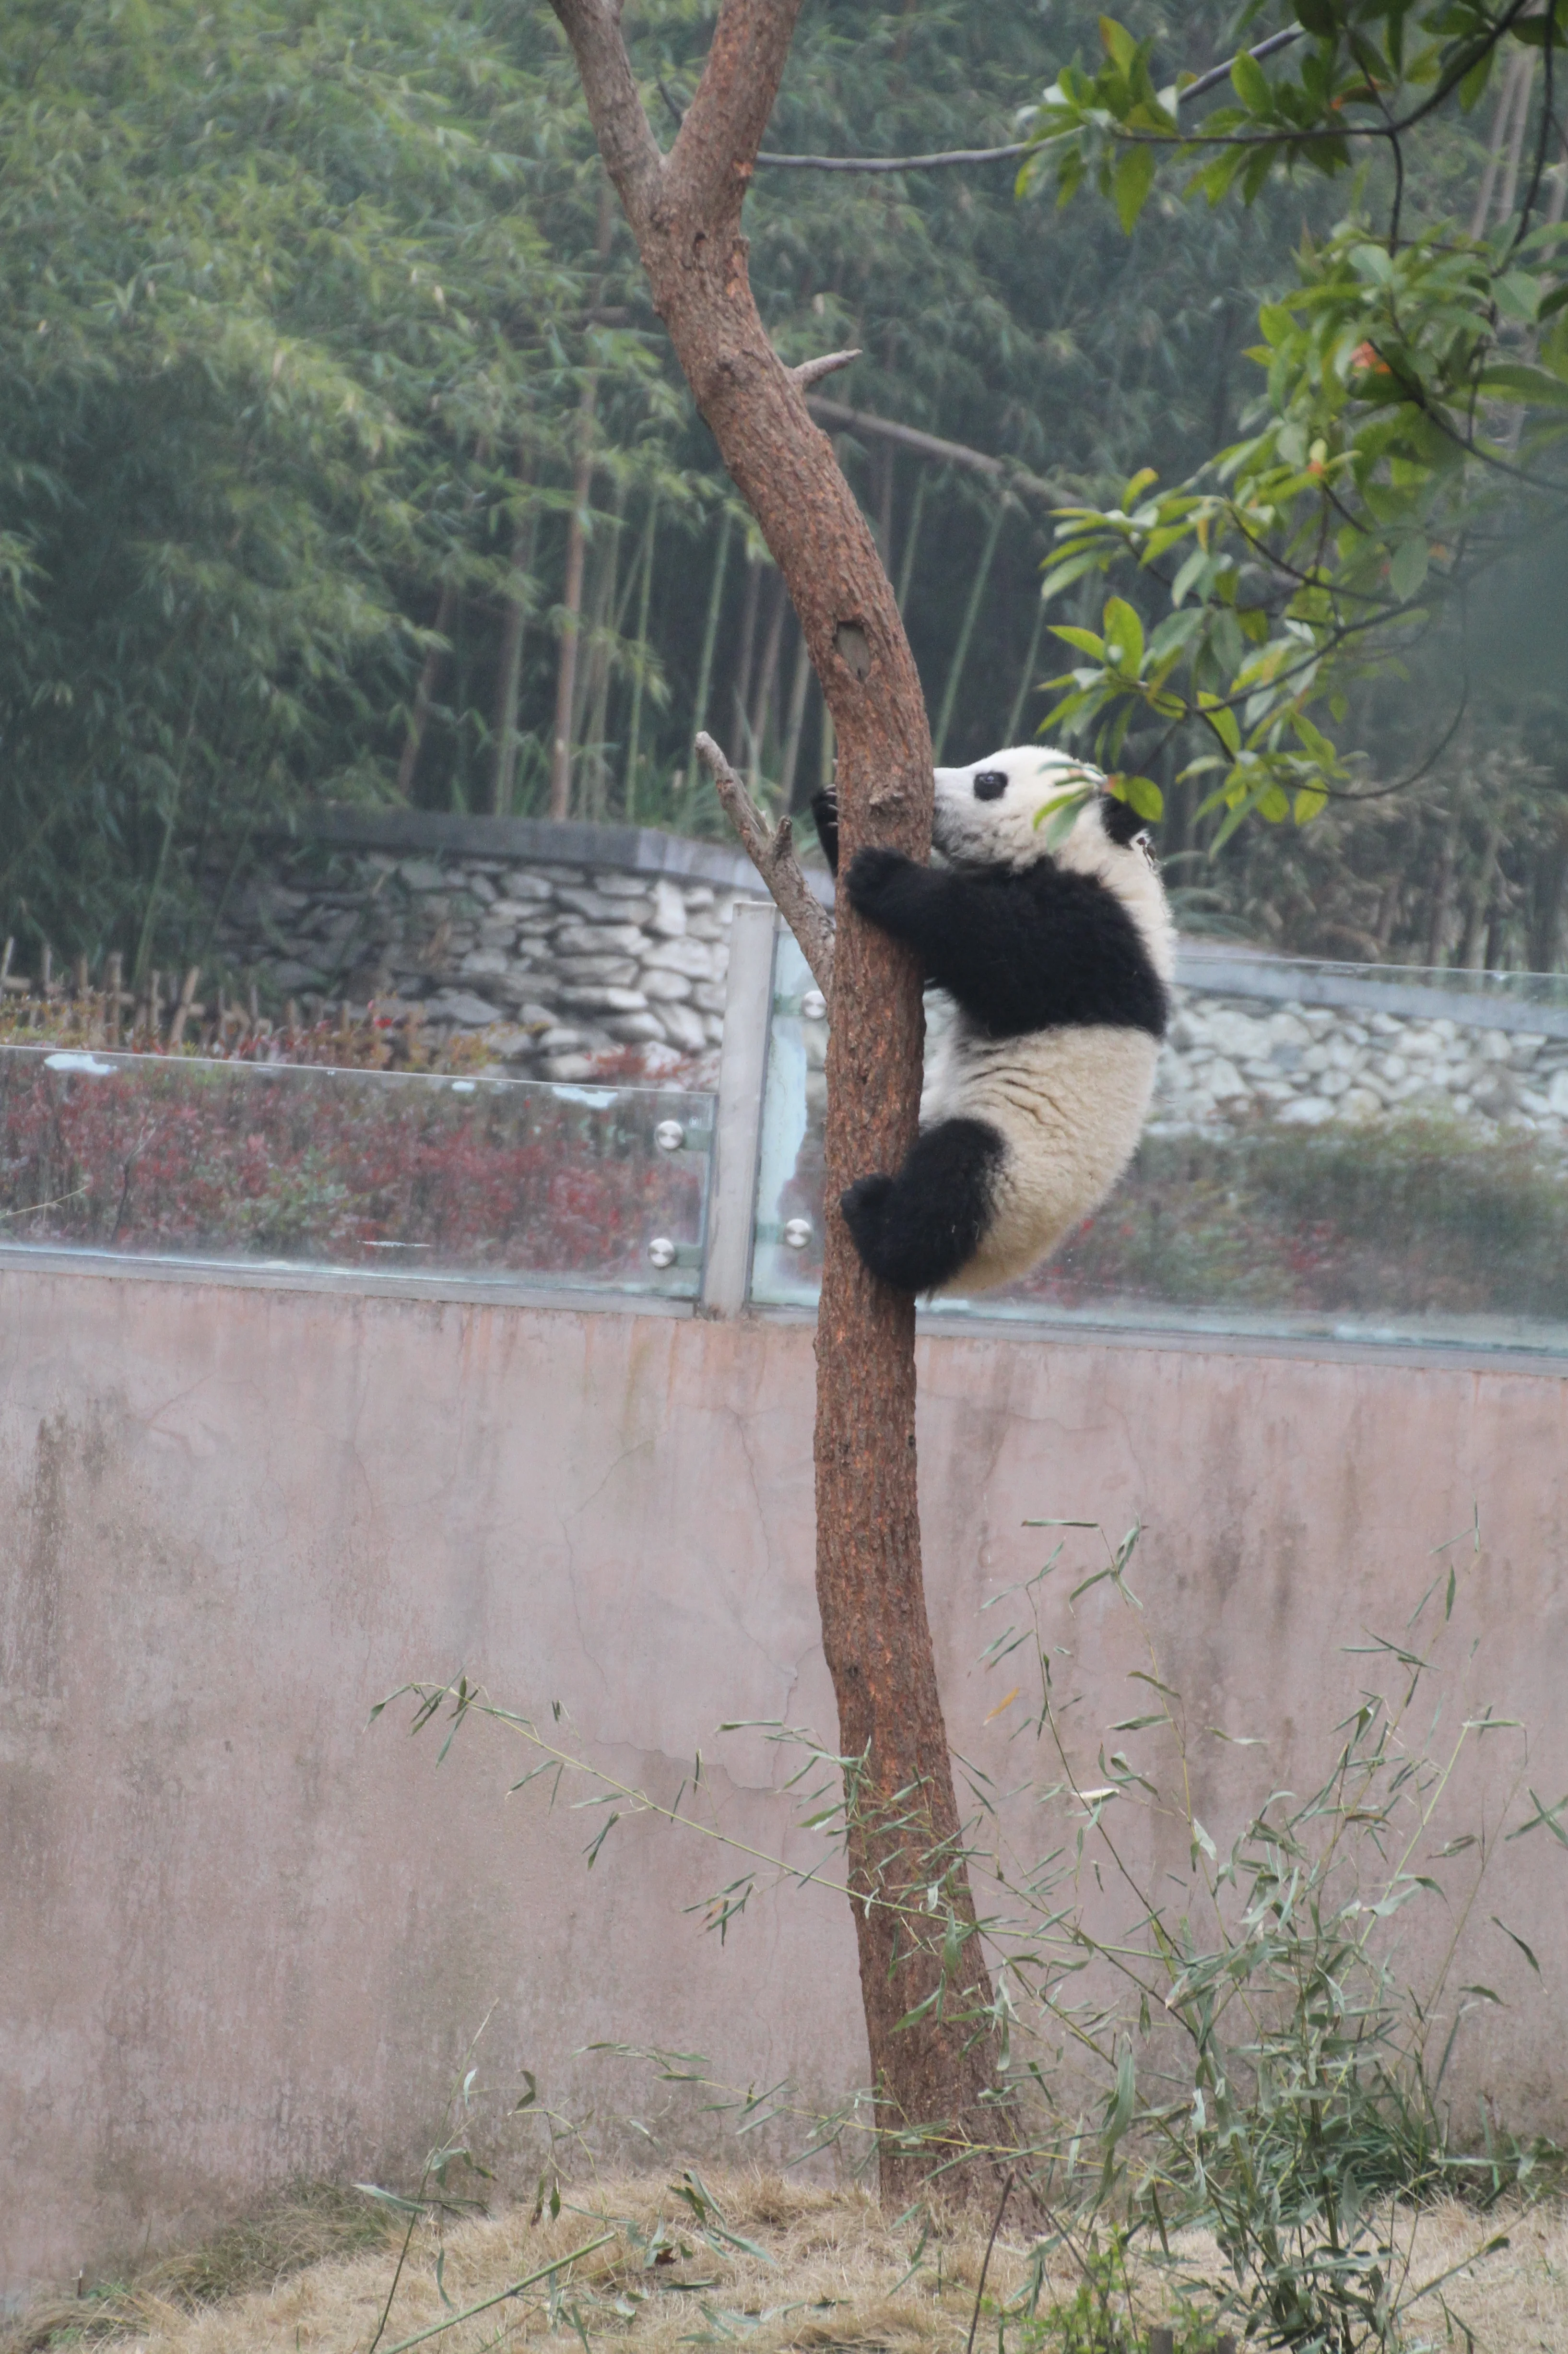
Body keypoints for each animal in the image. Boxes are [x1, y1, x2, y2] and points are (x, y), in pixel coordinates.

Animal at [811, 745, 1174, 1296]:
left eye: (988, 782)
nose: (930, 788)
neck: (1097, 855)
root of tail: (997, 1269)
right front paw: (831, 811)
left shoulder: (1095, 937)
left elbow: (997, 947)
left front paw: (885, 875)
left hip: (1016, 1176)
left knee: (952, 1179)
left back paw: (876, 1224)